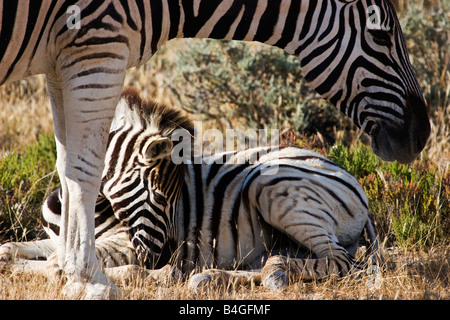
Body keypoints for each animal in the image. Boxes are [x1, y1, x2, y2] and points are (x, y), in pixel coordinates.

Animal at [0, 89, 382, 294]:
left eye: (169, 198)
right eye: (159, 197)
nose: (169, 253)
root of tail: (349, 176)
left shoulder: (124, 245)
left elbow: (56, 265)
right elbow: (18, 247)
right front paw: (11, 257)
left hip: (272, 187)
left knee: (340, 262)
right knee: (282, 262)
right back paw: (211, 276)